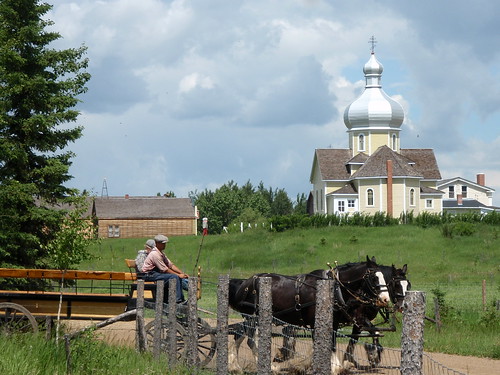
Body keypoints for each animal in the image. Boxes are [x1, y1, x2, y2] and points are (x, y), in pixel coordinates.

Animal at [228, 256, 390, 368]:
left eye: (384, 277)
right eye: (374, 277)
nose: (385, 299)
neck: (333, 289)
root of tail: (244, 283)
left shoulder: (338, 322)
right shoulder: (315, 323)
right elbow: (327, 345)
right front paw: (334, 366)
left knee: (240, 335)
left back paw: (235, 365)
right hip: (251, 316)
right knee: (250, 340)